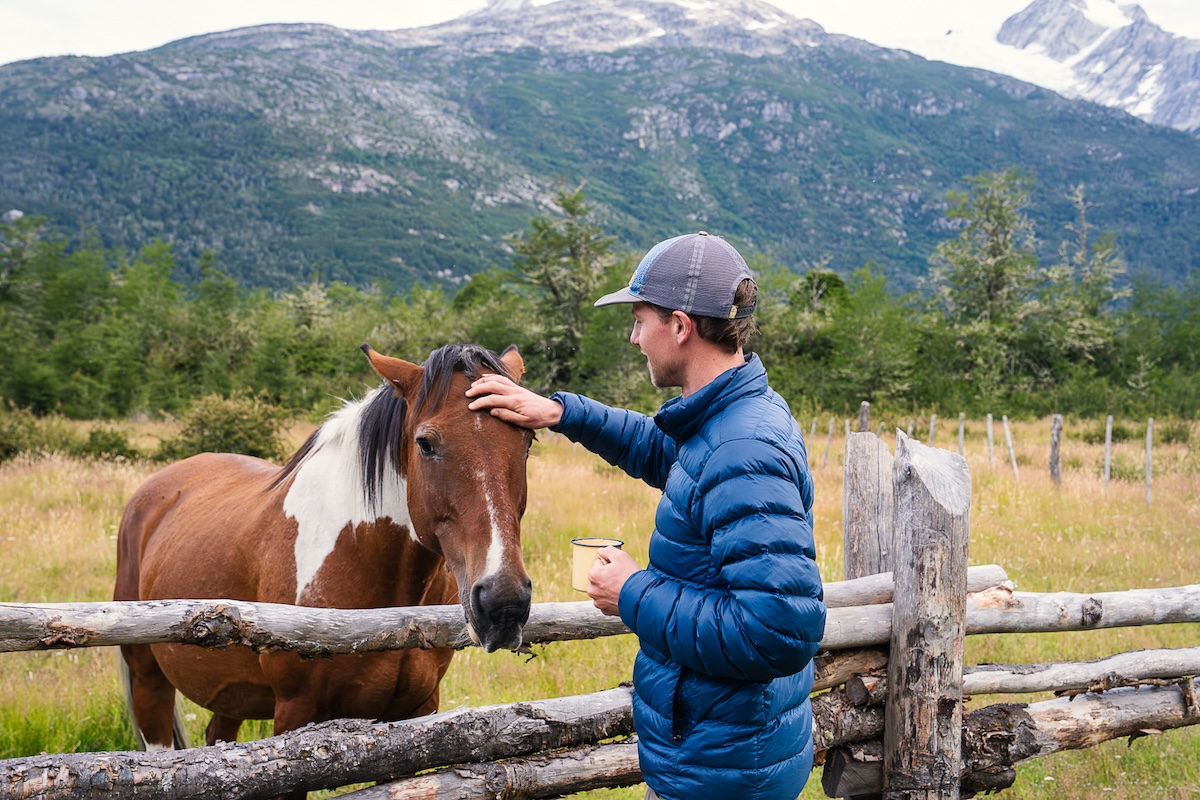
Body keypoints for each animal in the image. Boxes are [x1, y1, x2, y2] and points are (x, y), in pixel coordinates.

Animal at [113, 340, 535, 767]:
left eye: (527, 441)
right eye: (426, 443)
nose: (503, 603)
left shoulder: (418, 710)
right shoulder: (296, 713)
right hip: (148, 681)